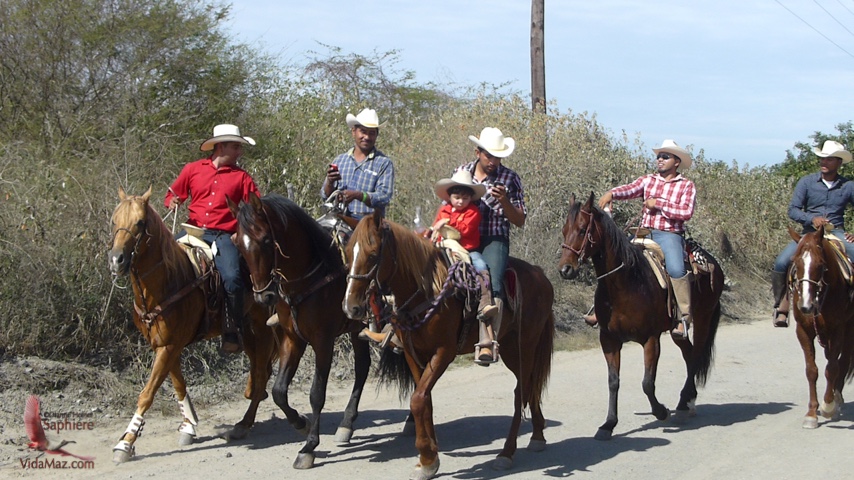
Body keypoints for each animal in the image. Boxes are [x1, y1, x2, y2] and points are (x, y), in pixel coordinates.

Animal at [108, 187, 278, 463]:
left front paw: (126, 442)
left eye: (140, 222)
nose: (116, 260)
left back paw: (243, 424)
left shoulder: (169, 346)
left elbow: (147, 393)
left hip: (262, 329)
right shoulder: (165, 345)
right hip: (250, 334)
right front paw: (188, 426)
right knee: (258, 372)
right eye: (114, 221)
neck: (167, 281)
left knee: (262, 374)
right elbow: (179, 384)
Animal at [228, 192, 385, 469]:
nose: (263, 296)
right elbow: (279, 391)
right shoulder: (292, 340)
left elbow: (316, 394)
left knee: (365, 368)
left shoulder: (323, 342)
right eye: (238, 244)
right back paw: (347, 424)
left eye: (266, 240)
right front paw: (300, 423)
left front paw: (309, 447)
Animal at [343, 209, 555, 480]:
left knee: (521, 392)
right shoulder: (413, 353)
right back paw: (537, 435)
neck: (426, 290)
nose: (351, 307)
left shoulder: (443, 352)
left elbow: (418, 400)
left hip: (524, 347)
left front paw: (426, 456)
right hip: (510, 347)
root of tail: (541, 276)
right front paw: (429, 460)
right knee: (530, 386)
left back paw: (506, 453)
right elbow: (425, 400)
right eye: (348, 253)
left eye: (372, 254)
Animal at [558, 193, 724, 440]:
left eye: (582, 230)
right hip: (676, 330)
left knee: (695, 356)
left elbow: (647, 383)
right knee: (688, 352)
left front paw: (661, 412)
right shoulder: (609, 340)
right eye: (564, 229)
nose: (565, 270)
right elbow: (613, 381)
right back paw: (686, 402)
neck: (626, 283)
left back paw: (683, 403)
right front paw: (608, 424)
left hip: (703, 317)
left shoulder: (651, 339)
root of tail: (714, 264)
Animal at [787, 224, 854, 428]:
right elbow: (812, 370)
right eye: (796, 263)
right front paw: (811, 413)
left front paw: (827, 406)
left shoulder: (838, 329)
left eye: (821, 264)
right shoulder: (803, 331)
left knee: (843, 361)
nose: (805, 306)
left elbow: (832, 368)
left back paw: (836, 399)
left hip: (848, 330)